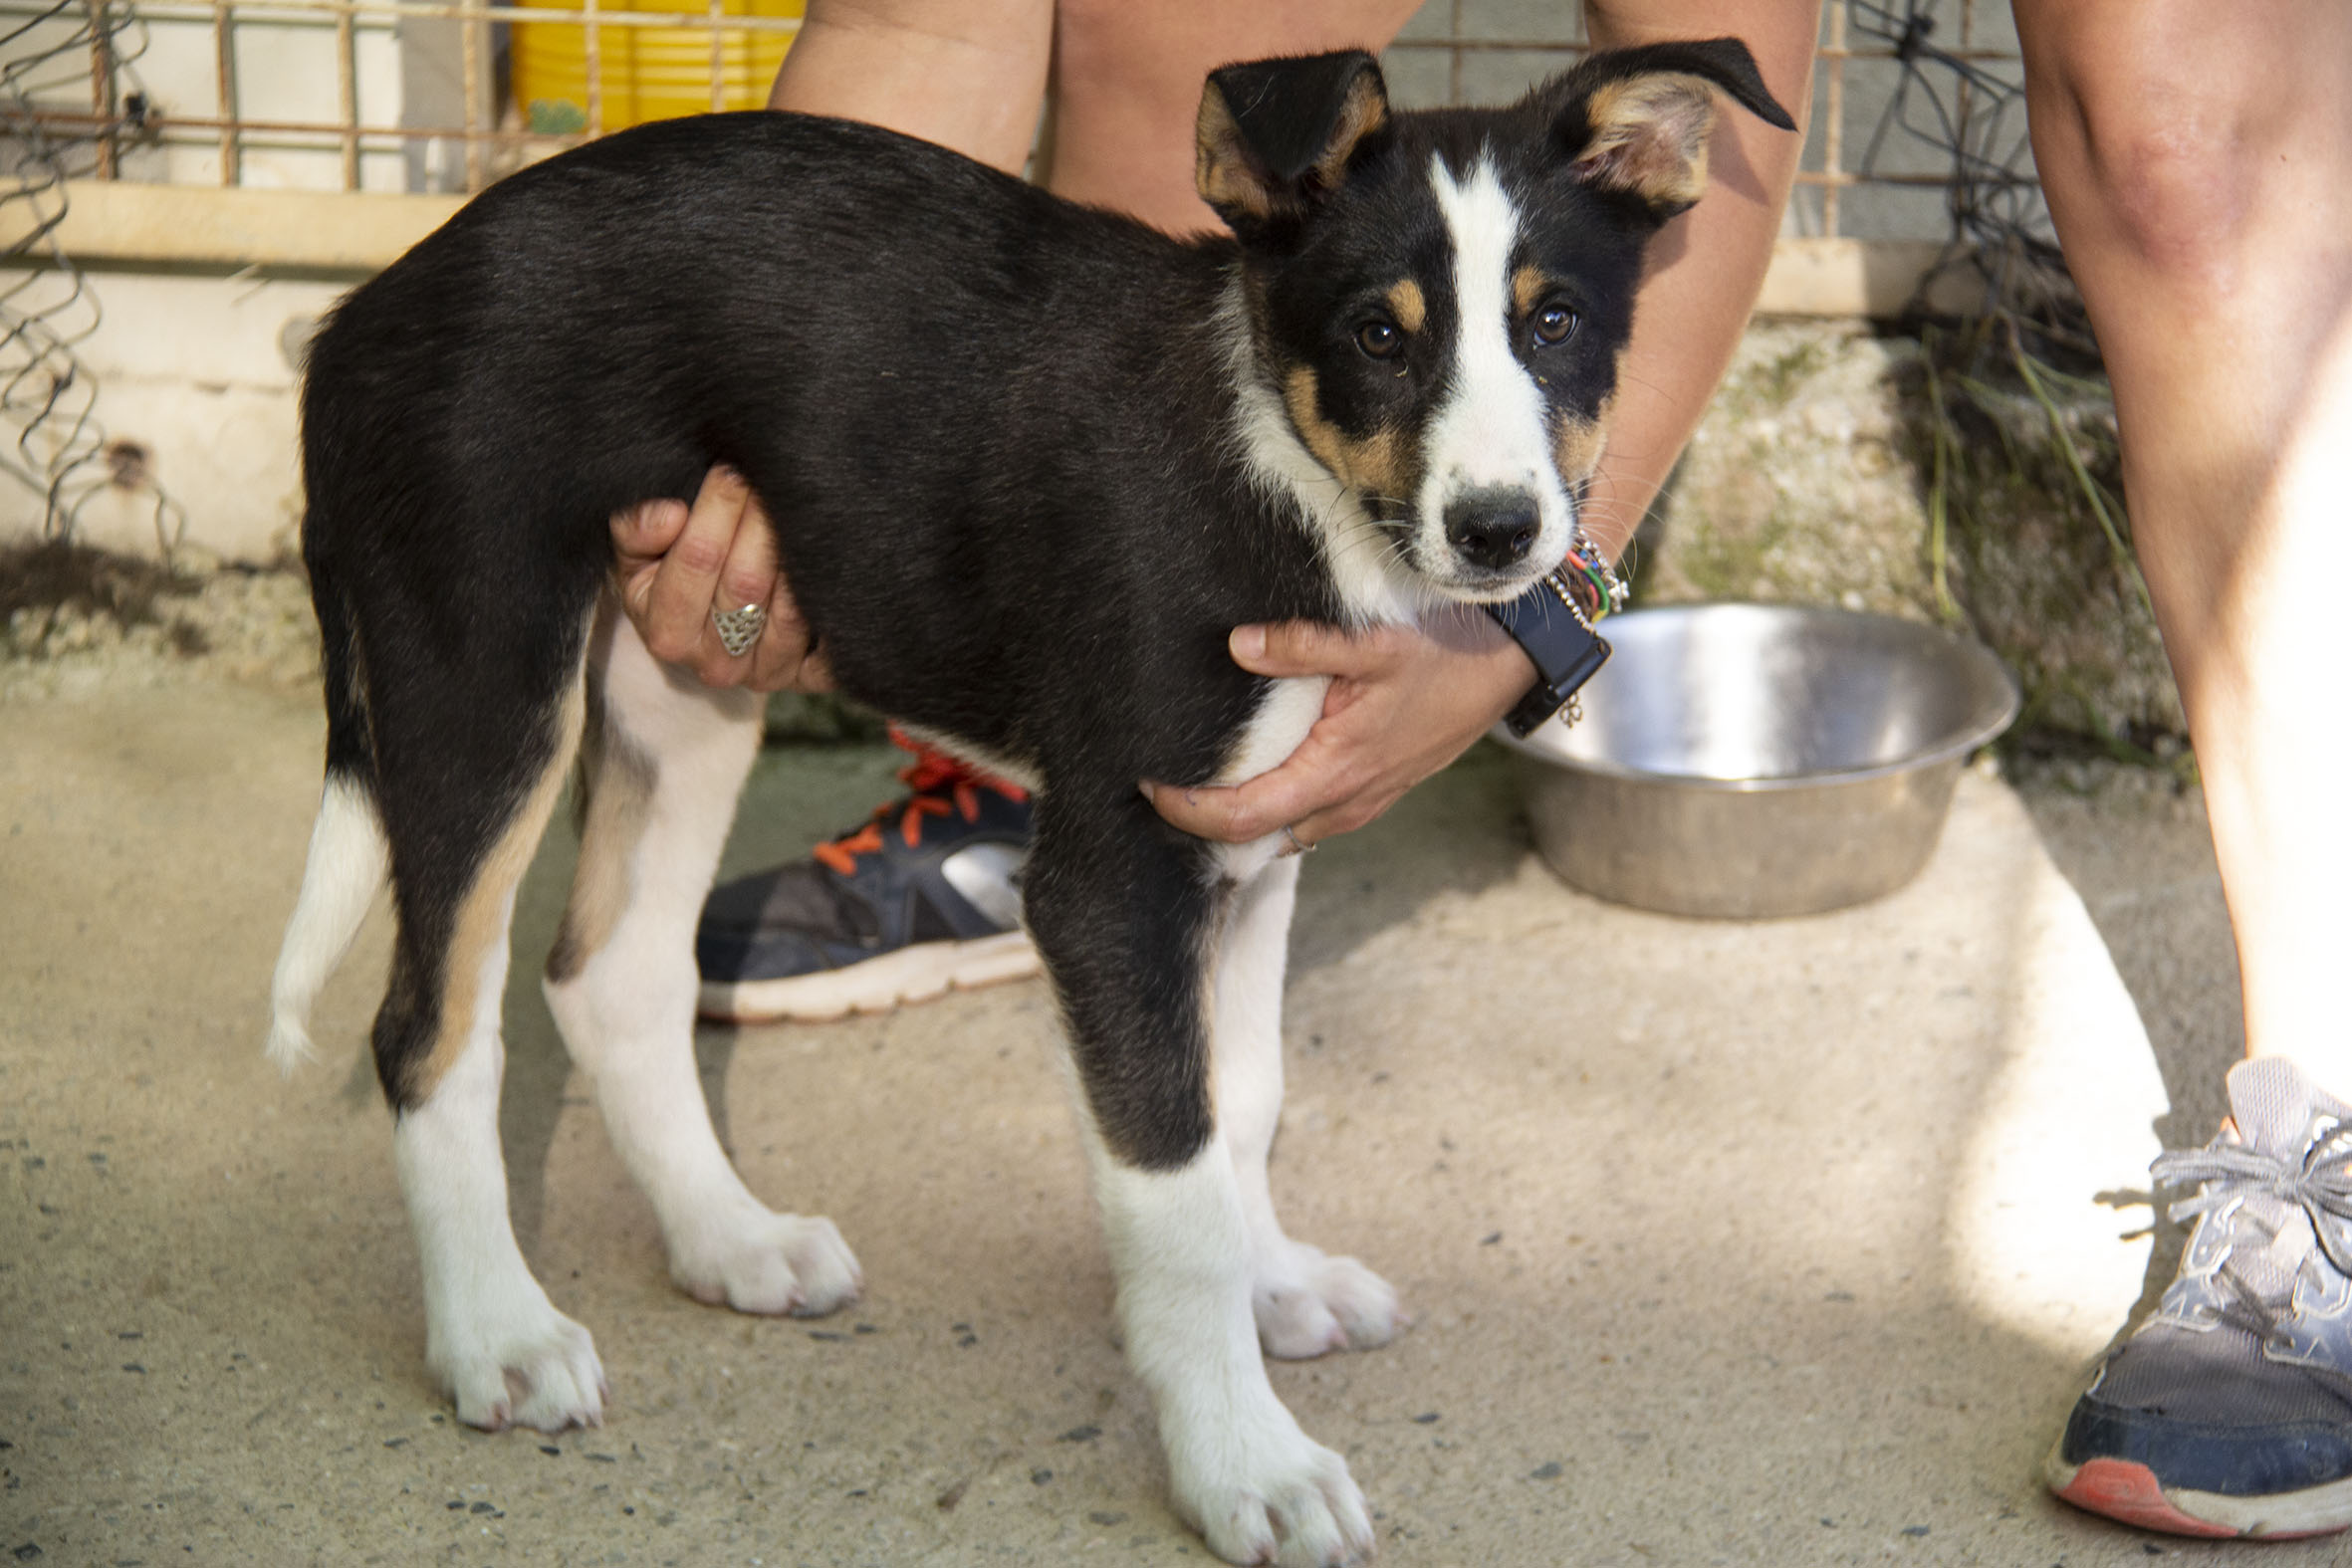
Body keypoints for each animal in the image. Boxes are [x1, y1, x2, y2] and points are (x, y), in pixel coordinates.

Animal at [266, 40, 1790, 1567]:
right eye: (1376, 335)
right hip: (482, 666)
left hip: (675, 675)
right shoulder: (1110, 882)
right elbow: (1174, 1182)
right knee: (430, 1026)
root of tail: (361, 309)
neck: (1287, 481)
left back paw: (729, 1239)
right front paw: (1243, 1461)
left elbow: (1240, 1101)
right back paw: (496, 1332)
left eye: (1555, 323)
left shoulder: (1247, 845)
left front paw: (1275, 1283)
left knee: (610, 975)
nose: (1497, 532)